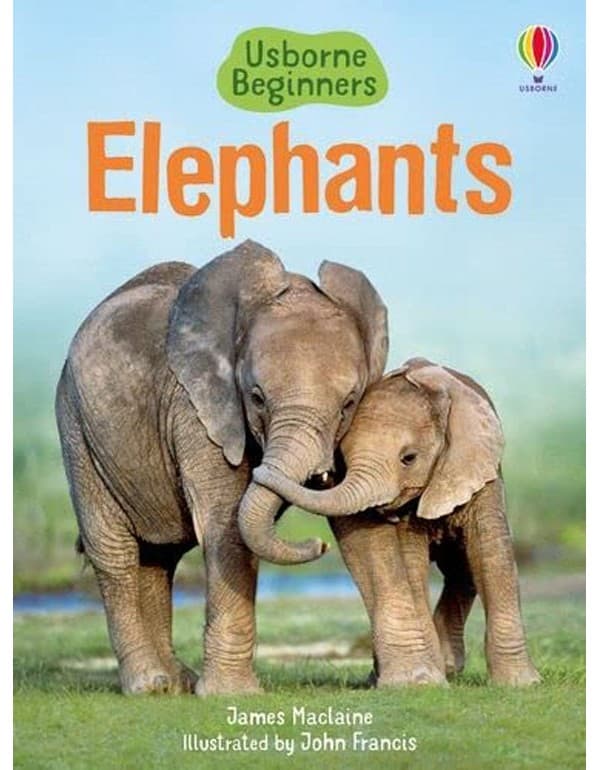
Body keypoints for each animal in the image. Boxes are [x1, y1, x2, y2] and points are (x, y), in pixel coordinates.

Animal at [55, 239, 389, 695]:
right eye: (256, 397)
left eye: (349, 403)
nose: (318, 546)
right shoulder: (197, 409)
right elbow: (227, 523)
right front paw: (233, 694)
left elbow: (356, 513)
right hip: (77, 427)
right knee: (114, 551)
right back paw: (150, 685)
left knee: (158, 557)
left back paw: (176, 683)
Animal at [254, 357, 541, 686]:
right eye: (343, 458)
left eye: (409, 458)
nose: (321, 545)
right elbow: (410, 562)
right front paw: (425, 680)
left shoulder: (480, 472)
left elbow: (490, 553)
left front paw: (522, 684)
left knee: (462, 568)